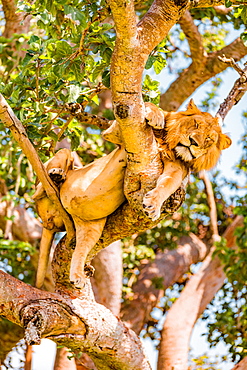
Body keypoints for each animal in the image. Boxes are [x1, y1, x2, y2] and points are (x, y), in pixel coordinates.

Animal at [32, 100, 232, 290]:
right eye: (196, 124)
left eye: (209, 139)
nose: (193, 142)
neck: (171, 145)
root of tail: (49, 223)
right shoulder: (115, 134)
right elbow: (151, 107)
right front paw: (156, 116)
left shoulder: (176, 169)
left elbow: (166, 186)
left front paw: (153, 206)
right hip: (63, 157)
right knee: (38, 189)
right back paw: (56, 176)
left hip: (91, 228)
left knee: (80, 251)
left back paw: (78, 276)